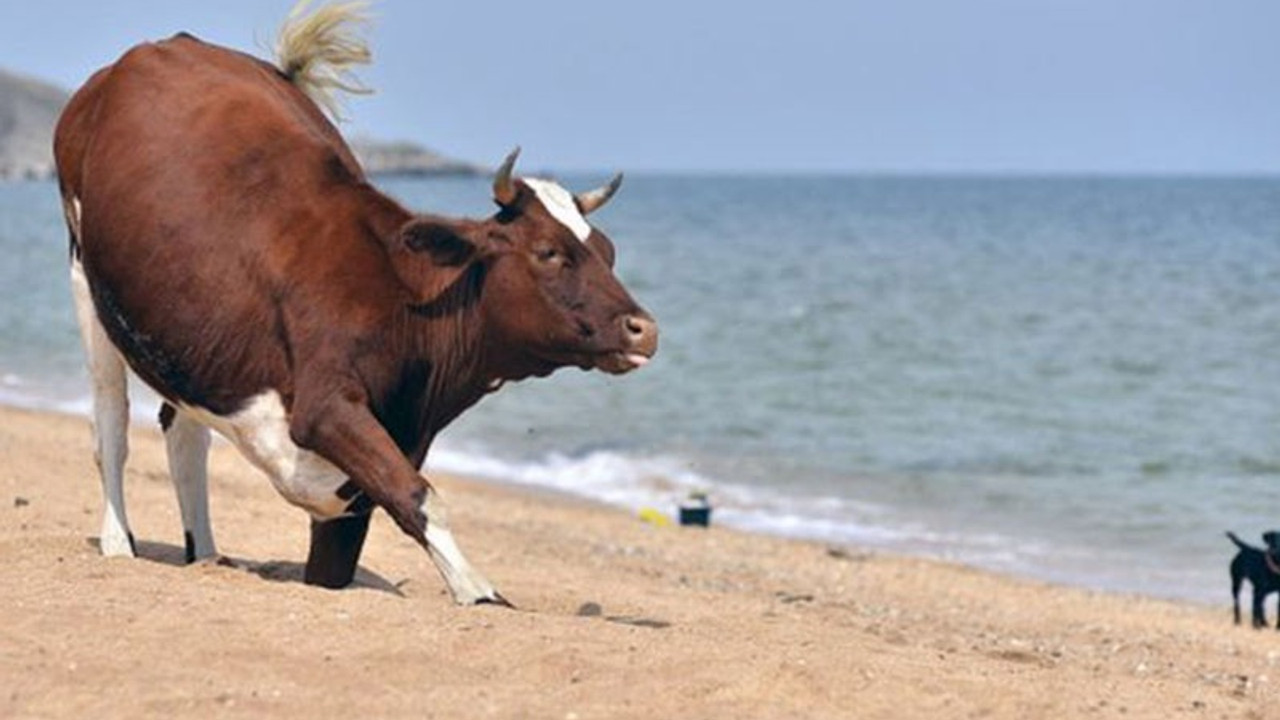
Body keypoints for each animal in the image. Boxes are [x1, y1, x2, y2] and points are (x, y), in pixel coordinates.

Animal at [51, 2, 655, 602]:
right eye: (548, 252)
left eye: (608, 251)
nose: (643, 328)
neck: (398, 301)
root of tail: (162, 47)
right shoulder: (326, 409)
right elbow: (418, 496)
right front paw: (480, 592)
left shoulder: (352, 492)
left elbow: (346, 554)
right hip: (86, 278)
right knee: (111, 425)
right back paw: (119, 542)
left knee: (183, 433)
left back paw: (206, 554)